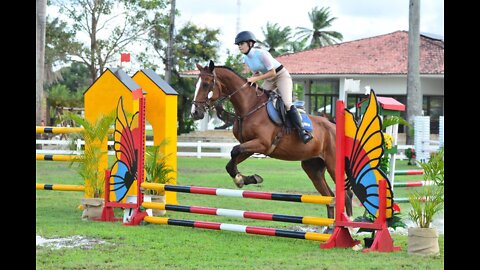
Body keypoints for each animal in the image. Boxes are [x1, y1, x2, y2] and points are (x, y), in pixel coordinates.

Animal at [190, 60, 352, 221]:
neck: (250, 107)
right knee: (329, 197)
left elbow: (234, 151)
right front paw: (246, 179)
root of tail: (334, 126)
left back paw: (349, 224)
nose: (195, 113)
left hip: (333, 165)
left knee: (346, 194)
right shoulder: (250, 146)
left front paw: (243, 179)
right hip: (313, 168)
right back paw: (328, 226)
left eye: (206, 84)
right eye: (196, 84)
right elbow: (231, 162)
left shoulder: (262, 144)